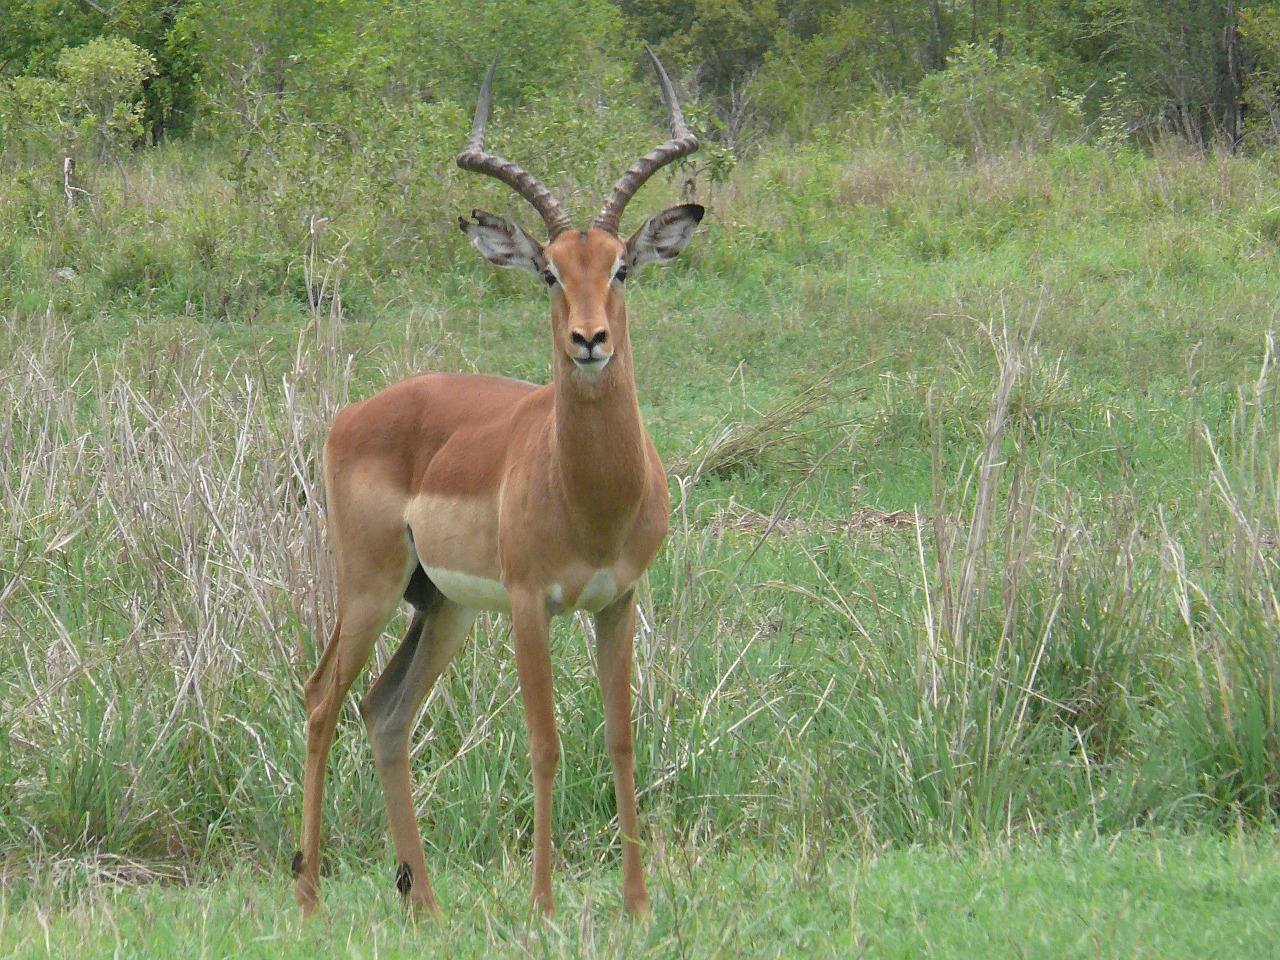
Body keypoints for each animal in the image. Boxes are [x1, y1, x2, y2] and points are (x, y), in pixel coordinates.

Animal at [294, 48, 706, 921]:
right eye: (548, 272)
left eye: (621, 266)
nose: (590, 341)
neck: (592, 499)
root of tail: (355, 414)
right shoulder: (528, 605)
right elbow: (545, 743)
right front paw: (544, 904)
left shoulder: (618, 600)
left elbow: (621, 737)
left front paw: (637, 903)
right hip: (370, 587)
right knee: (320, 700)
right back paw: (308, 894)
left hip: (442, 608)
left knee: (386, 713)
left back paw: (424, 901)